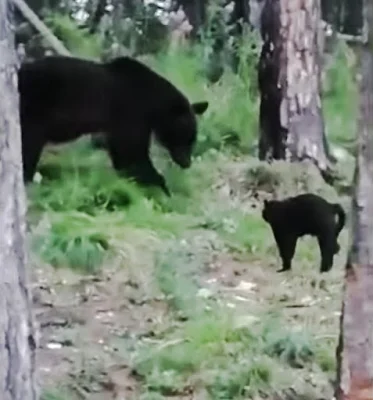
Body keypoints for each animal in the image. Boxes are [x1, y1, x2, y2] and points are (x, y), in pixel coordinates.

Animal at [18, 55, 209, 195]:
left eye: (193, 139)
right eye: (186, 137)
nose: (186, 163)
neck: (152, 102)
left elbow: (122, 153)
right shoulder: (132, 113)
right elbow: (132, 153)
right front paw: (160, 184)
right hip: (34, 110)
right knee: (29, 144)